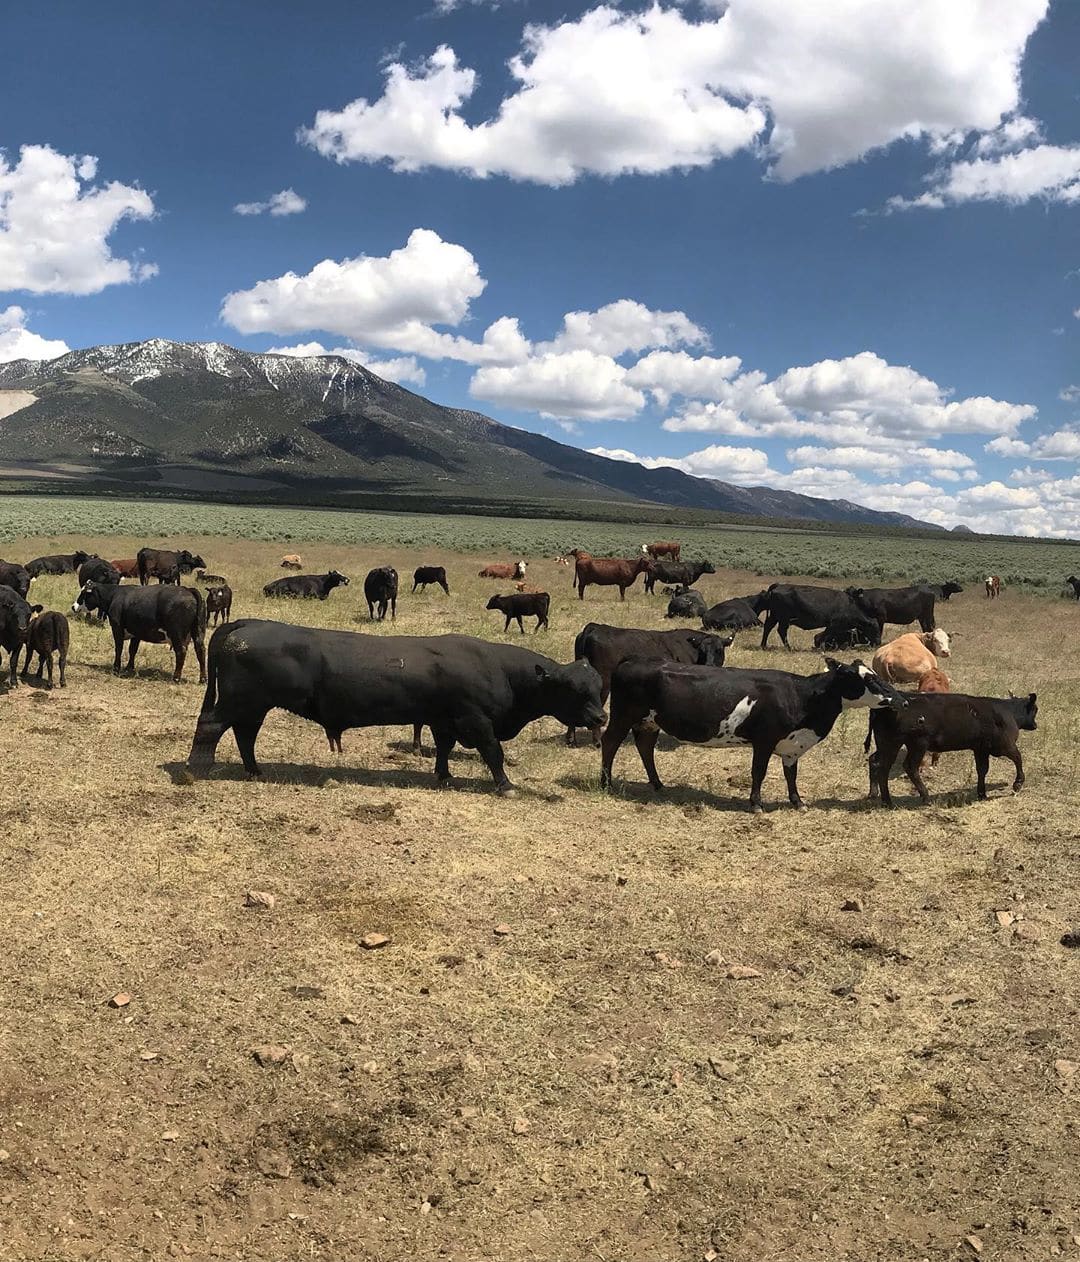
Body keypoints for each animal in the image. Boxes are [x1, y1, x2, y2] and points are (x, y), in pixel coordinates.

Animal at [72, 577, 208, 681]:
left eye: (84, 593)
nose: (73, 606)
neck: (115, 595)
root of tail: (188, 590)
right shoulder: (136, 632)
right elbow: (132, 650)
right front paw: (129, 667)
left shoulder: (117, 628)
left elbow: (119, 649)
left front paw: (116, 668)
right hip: (198, 633)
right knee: (201, 651)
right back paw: (203, 678)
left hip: (177, 635)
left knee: (181, 652)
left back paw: (176, 677)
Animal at [189, 623, 603, 797]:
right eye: (572, 688)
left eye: (599, 688)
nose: (601, 718)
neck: (499, 668)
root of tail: (243, 627)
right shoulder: (475, 720)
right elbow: (494, 753)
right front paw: (506, 786)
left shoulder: (444, 720)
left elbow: (443, 749)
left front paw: (443, 776)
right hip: (240, 702)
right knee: (210, 725)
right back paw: (198, 768)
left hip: (255, 706)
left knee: (244, 734)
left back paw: (254, 770)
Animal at [565, 623, 731, 742]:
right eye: (702, 650)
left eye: (719, 650)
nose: (710, 665)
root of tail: (594, 627)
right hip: (603, 682)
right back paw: (597, 741)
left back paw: (571, 740)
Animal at [598, 656, 903, 812]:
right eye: (865, 678)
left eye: (875, 673)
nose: (898, 698)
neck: (802, 696)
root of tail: (629, 662)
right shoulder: (764, 741)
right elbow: (759, 772)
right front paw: (756, 804)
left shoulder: (792, 746)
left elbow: (791, 775)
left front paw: (797, 801)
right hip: (623, 716)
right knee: (610, 742)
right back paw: (606, 783)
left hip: (649, 721)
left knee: (645, 746)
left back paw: (658, 784)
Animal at [862, 686, 1034, 802]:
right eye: (1035, 710)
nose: (1035, 725)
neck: (1008, 712)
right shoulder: (1005, 746)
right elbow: (1018, 758)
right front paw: (1018, 783)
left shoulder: (981, 749)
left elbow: (982, 770)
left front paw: (982, 793)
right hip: (913, 745)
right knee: (905, 767)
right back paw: (918, 797)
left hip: (887, 744)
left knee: (875, 761)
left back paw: (875, 794)